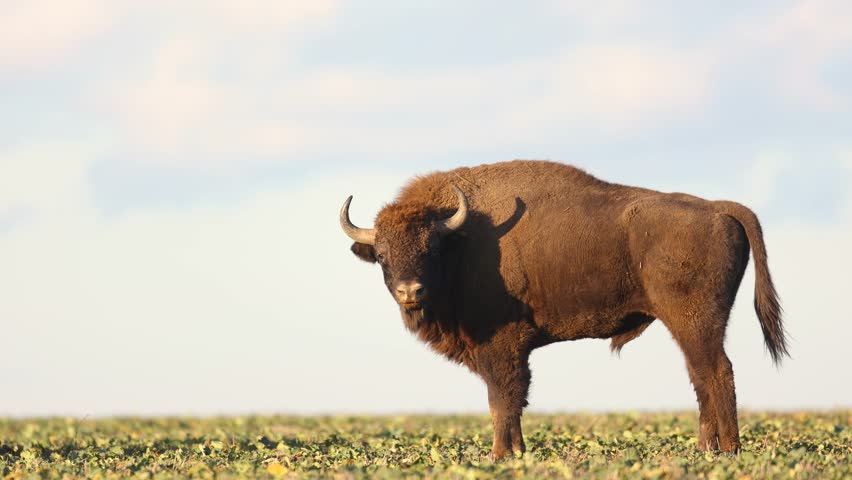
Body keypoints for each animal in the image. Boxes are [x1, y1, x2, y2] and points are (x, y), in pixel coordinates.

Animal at [339, 160, 787, 459]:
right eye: (382, 255)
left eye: (430, 248)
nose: (409, 291)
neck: (461, 243)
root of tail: (718, 207)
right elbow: (513, 401)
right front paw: (518, 452)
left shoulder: (502, 347)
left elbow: (503, 398)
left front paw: (500, 455)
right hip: (692, 326)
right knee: (701, 377)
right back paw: (705, 449)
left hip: (694, 321)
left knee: (717, 373)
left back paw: (728, 450)